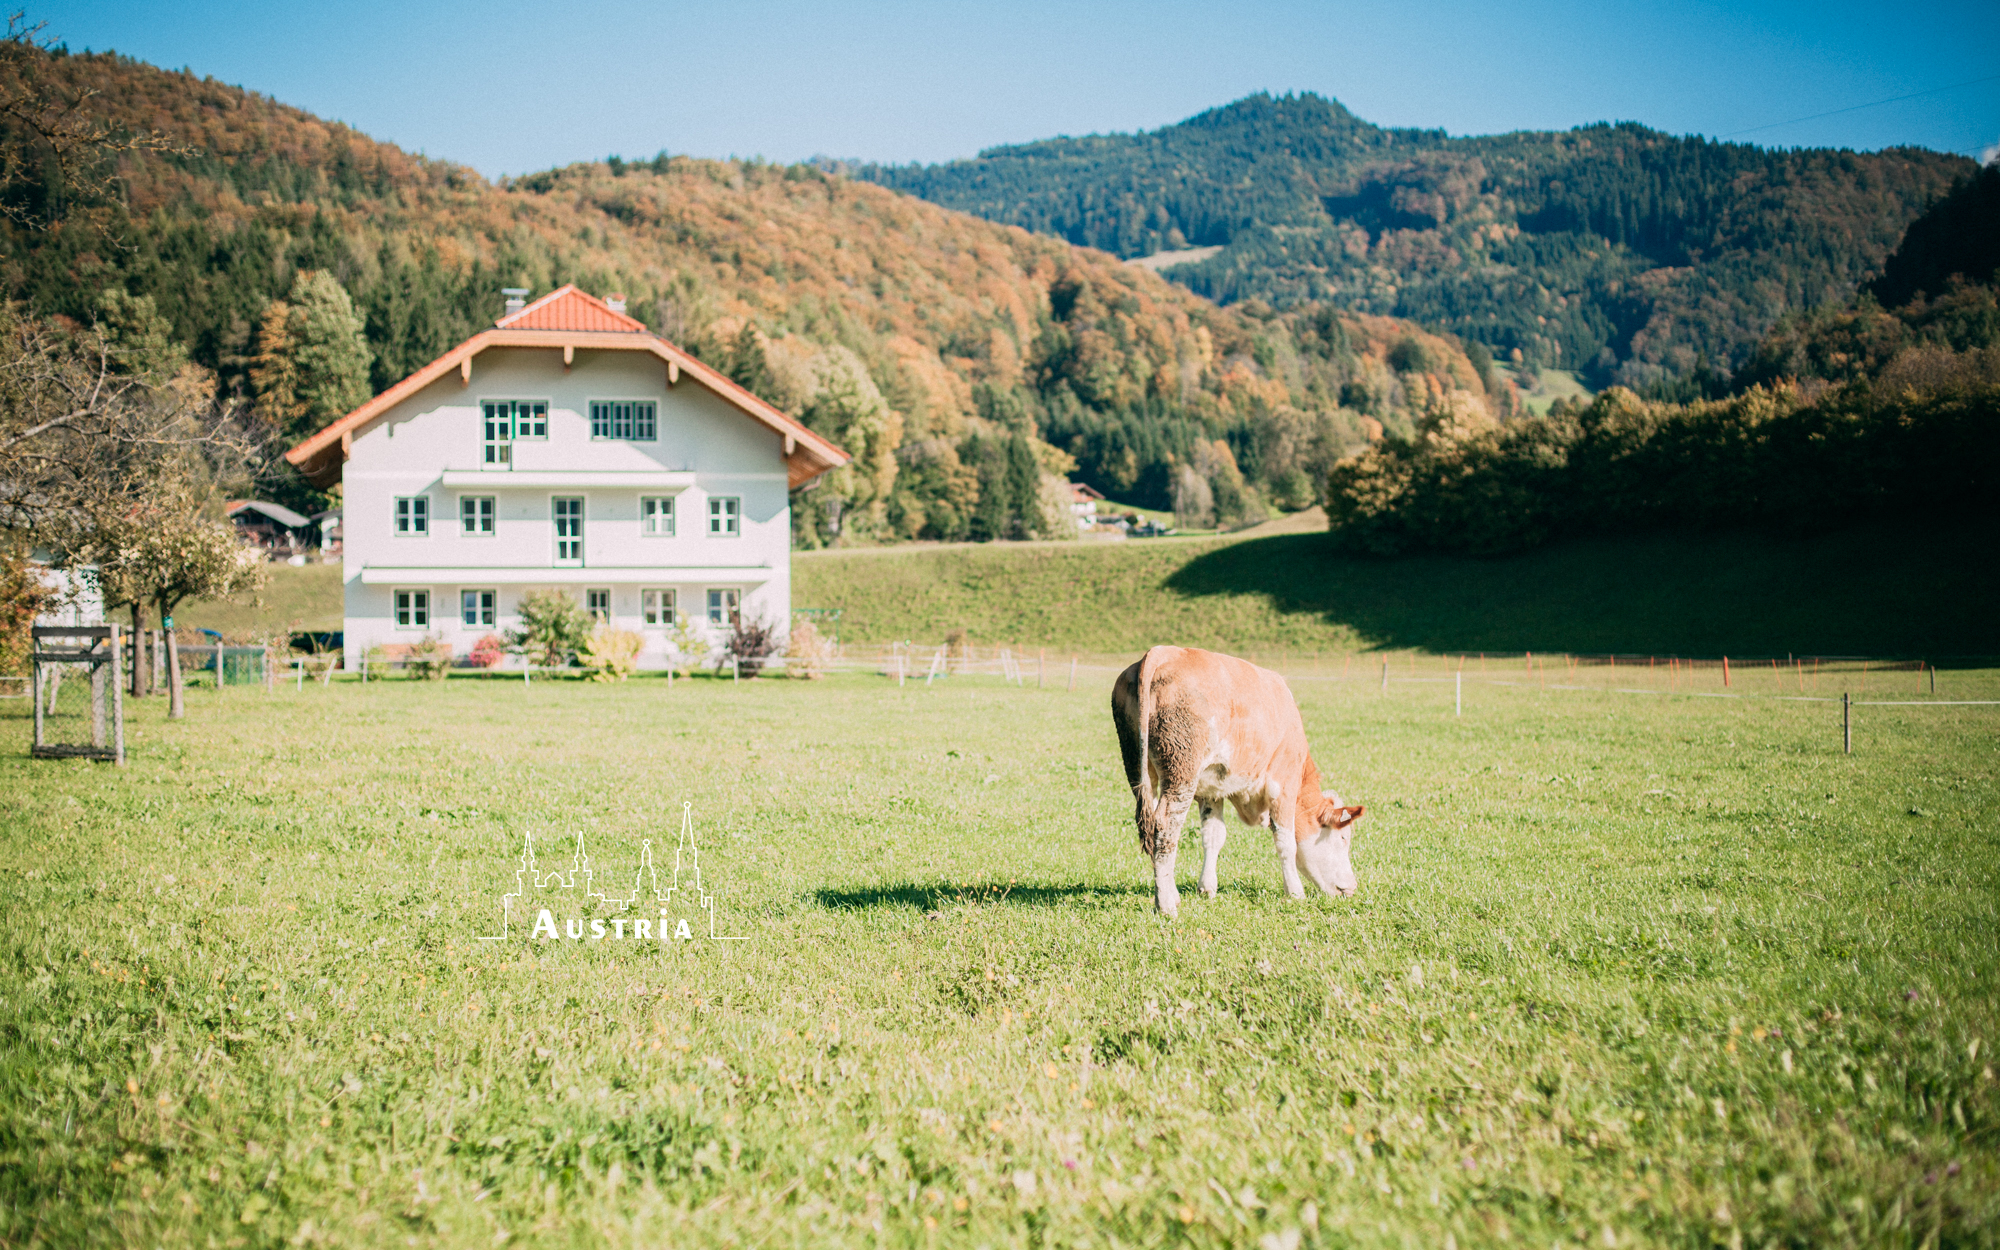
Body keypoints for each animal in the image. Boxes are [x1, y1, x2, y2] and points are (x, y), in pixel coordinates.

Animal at [1112, 644, 1360, 916]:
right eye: (1343, 838)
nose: (1352, 887)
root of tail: (1164, 652)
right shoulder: (1283, 784)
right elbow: (1285, 841)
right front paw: (1295, 892)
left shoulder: (1211, 791)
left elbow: (1213, 836)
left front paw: (1207, 887)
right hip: (1181, 773)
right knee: (1165, 826)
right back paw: (1166, 905)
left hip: (1138, 768)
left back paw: (1172, 895)